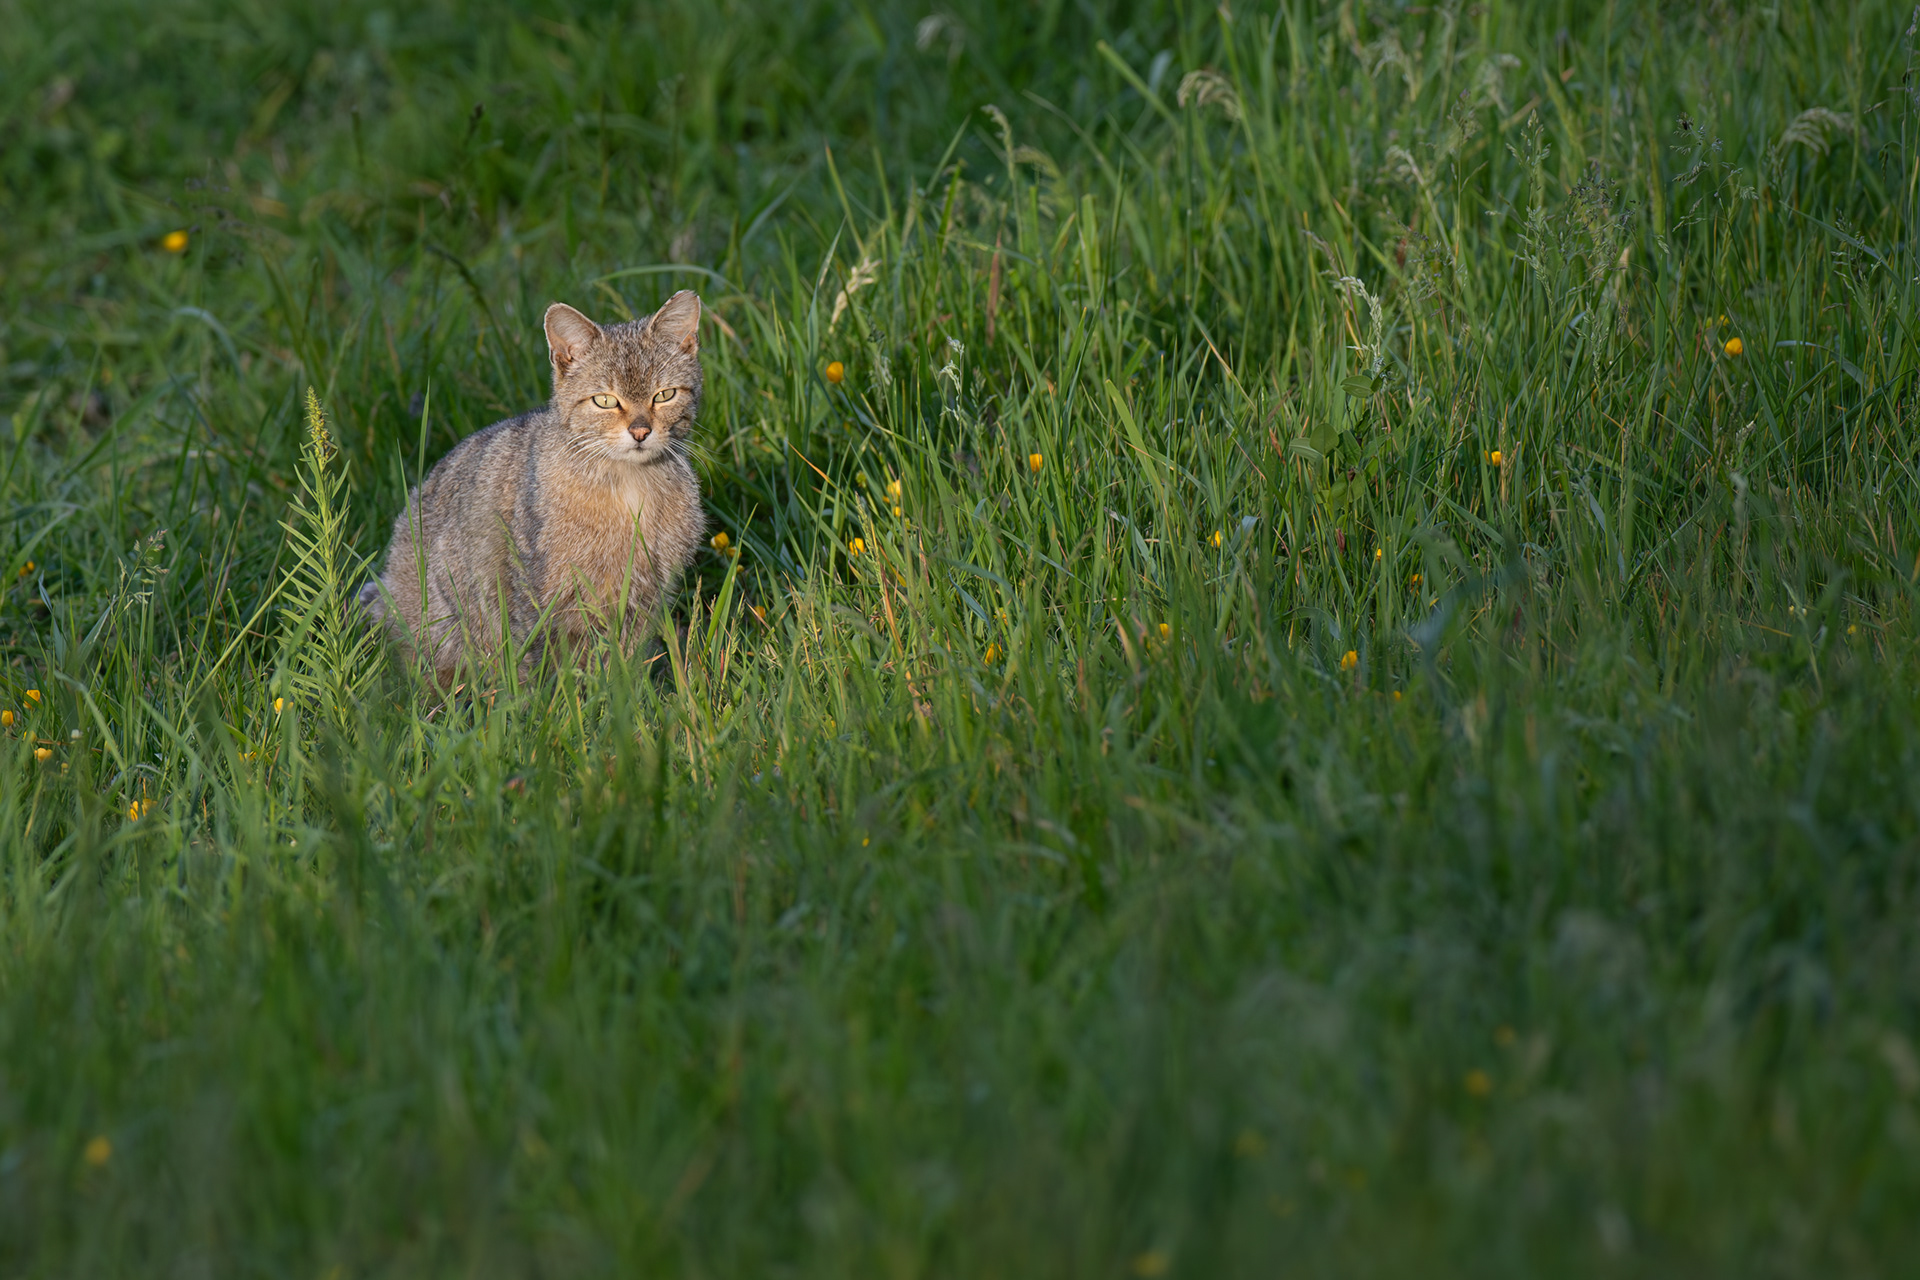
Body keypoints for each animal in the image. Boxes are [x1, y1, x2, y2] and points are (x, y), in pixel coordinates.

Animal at [360, 291, 707, 684]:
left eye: (664, 395)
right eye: (605, 400)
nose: (640, 431)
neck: (629, 486)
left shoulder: (644, 597)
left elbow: (620, 666)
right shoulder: (534, 597)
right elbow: (540, 669)